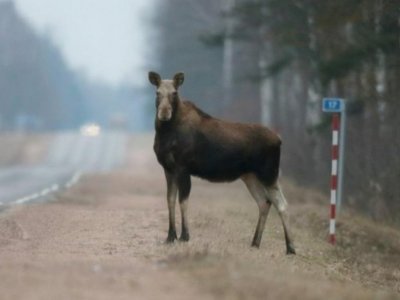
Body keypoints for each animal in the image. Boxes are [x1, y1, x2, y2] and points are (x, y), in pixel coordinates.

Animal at [148, 71, 296, 254]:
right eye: (157, 92)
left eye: (174, 93)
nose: (164, 113)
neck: (165, 133)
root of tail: (279, 140)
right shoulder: (168, 169)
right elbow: (170, 200)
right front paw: (170, 237)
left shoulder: (183, 168)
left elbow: (183, 201)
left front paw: (184, 236)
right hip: (250, 176)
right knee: (264, 202)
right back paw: (255, 242)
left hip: (269, 173)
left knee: (282, 204)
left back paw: (290, 248)